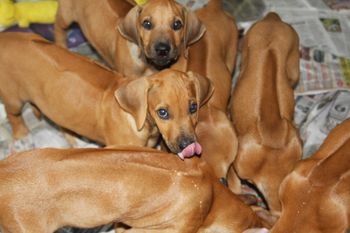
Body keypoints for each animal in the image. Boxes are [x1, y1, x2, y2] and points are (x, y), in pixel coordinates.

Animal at [0, 31, 213, 157]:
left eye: (193, 107)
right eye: (163, 113)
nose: (187, 145)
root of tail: (6, 37)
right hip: (12, 96)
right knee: (13, 115)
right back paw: (23, 138)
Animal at [53, 0, 204, 76]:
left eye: (177, 24)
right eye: (147, 24)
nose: (162, 49)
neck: (148, 65)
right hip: (66, 14)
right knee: (59, 25)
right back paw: (60, 45)